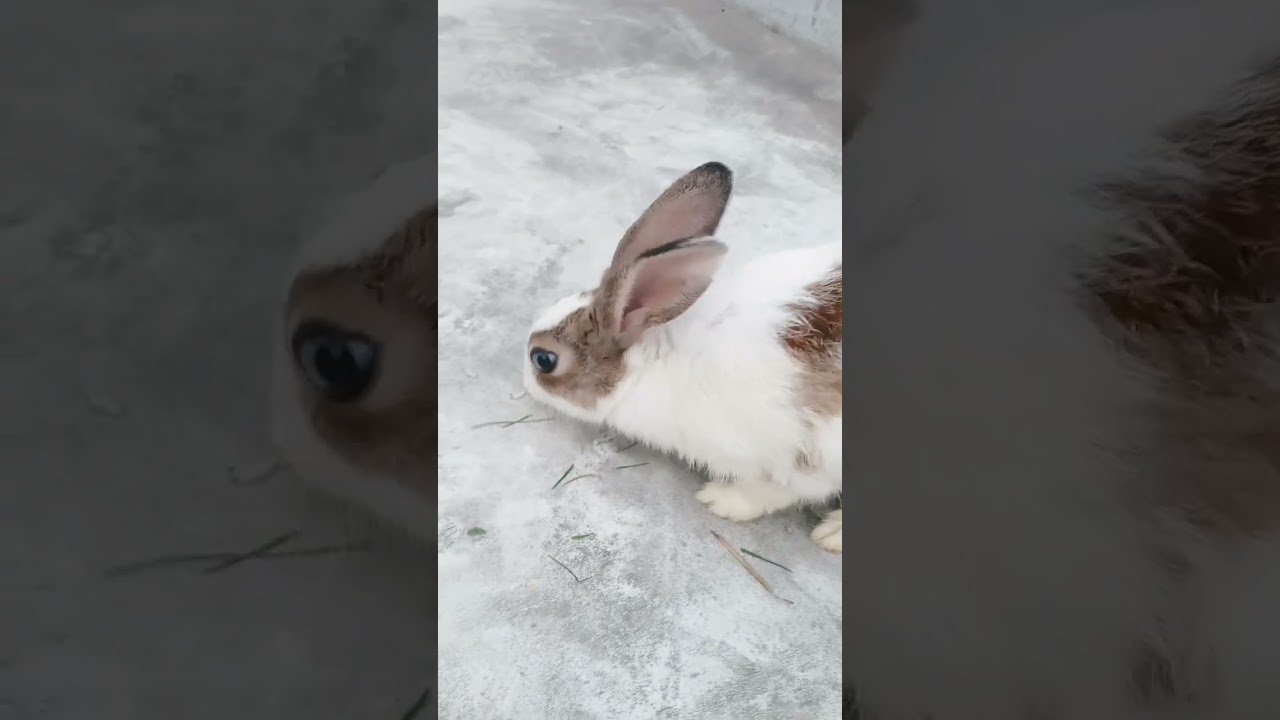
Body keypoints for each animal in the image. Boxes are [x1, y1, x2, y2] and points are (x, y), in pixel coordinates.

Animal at [521, 162, 844, 553]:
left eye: (544, 360)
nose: (523, 381)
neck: (656, 360)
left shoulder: (800, 457)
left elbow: (774, 490)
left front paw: (721, 500)